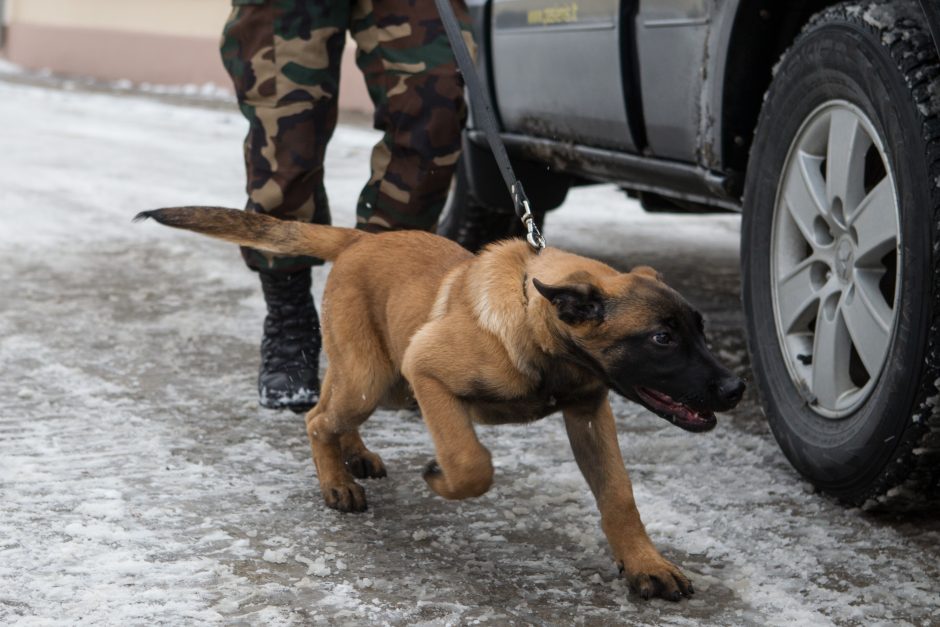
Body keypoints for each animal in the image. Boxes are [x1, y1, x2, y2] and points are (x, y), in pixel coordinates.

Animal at [136, 207, 744, 604]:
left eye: (700, 330)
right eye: (662, 340)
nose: (736, 388)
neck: (535, 323)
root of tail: (358, 240)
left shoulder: (589, 412)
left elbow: (619, 495)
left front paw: (646, 565)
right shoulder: (427, 372)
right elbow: (471, 463)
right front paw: (439, 477)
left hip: (378, 375)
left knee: (331, 404)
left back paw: (354, 456)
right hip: (378, 376)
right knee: (317, 418)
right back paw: (336, 482)